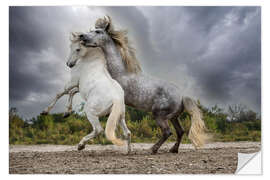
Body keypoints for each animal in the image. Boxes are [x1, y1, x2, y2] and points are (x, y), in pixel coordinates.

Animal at [74, 16, 209, 154]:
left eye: (98, 31)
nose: (82, 36)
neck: (120, 72)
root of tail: (182, 96)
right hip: (173, 117)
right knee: (180, 131)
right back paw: (173, 149)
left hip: (160, 116)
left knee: (168, 132)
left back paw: (153, 149)